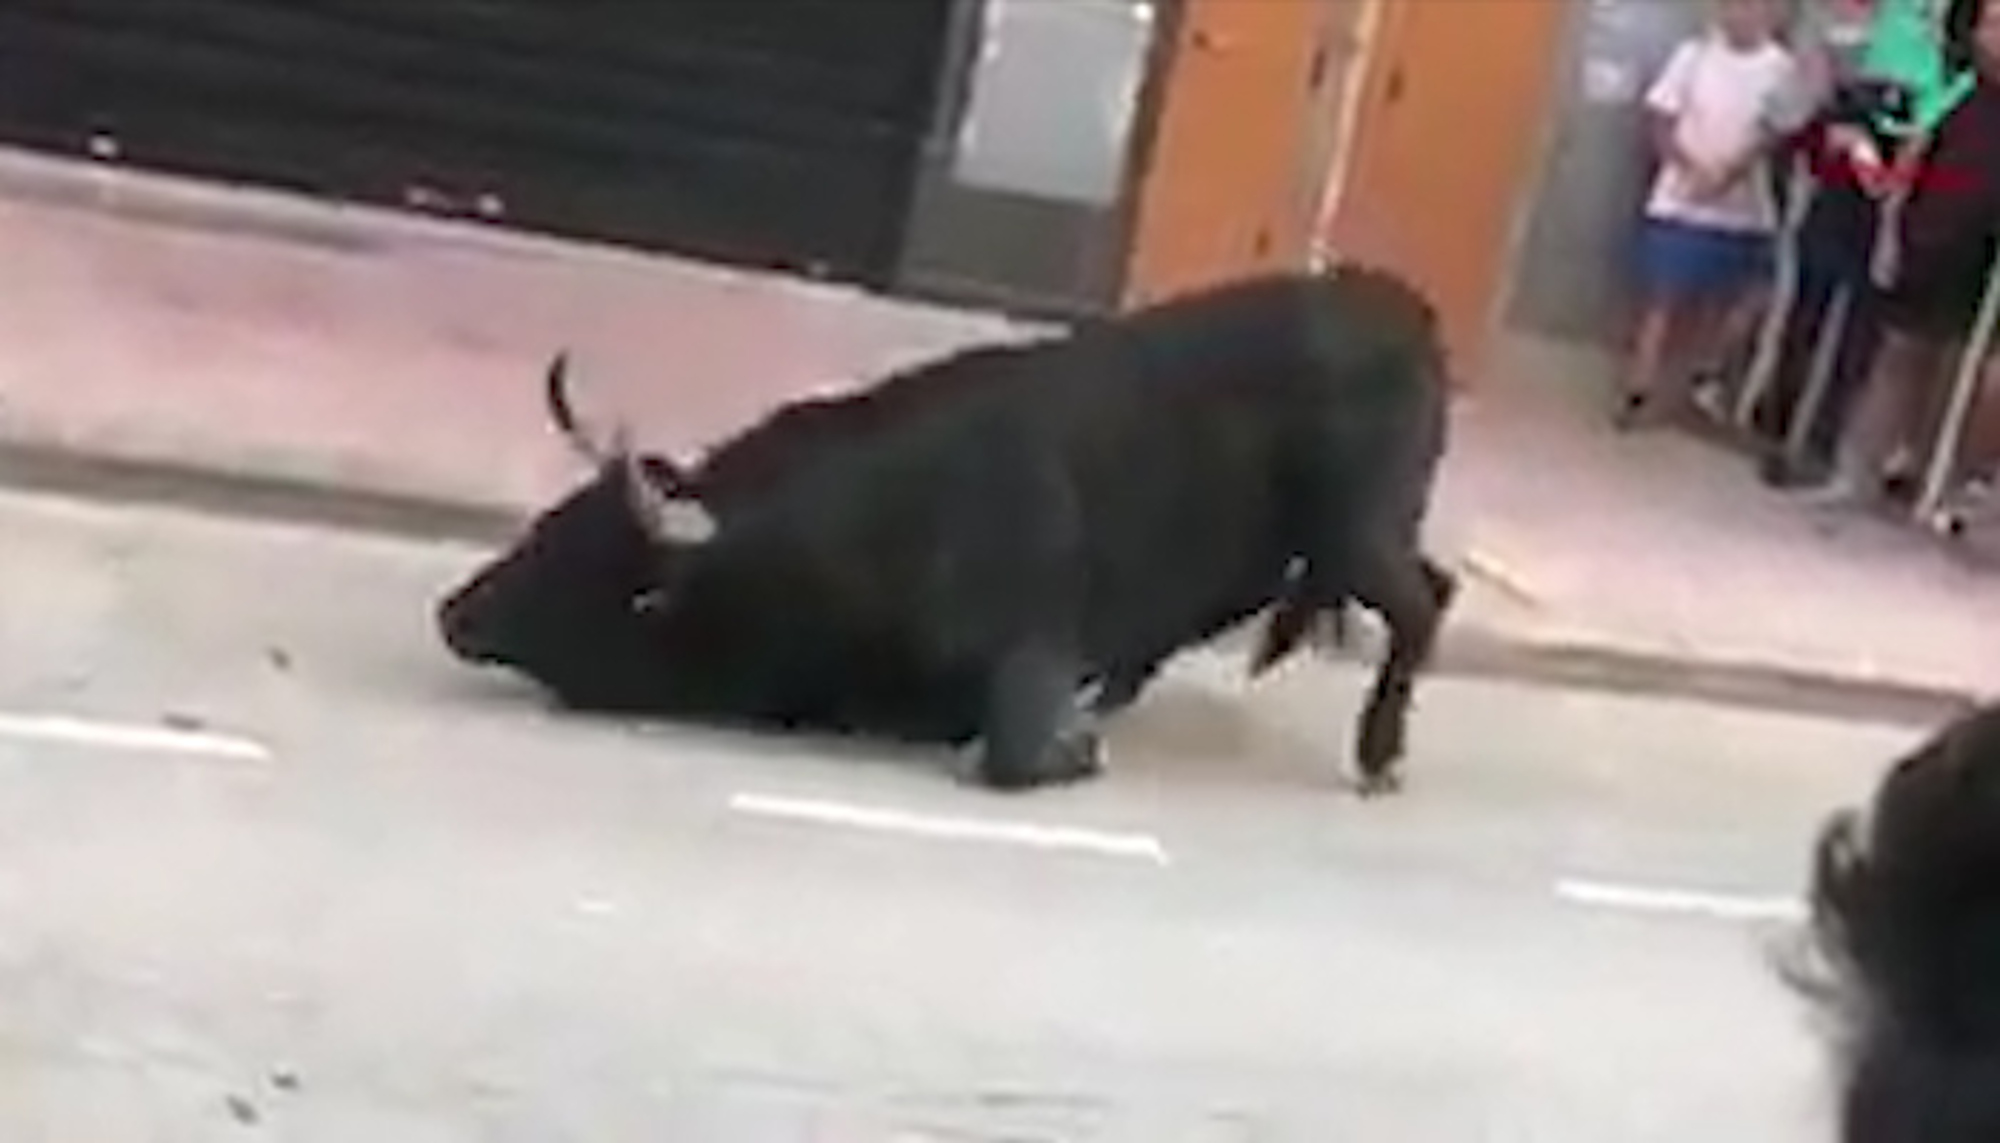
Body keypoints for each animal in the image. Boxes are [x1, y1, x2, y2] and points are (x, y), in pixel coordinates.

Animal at [438, 263, 1456, 795]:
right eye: (552, 521)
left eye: (586, 557)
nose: (455, 611)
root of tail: (1392, 298)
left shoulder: (1027, 645)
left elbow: (1015, 751)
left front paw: (1071, 748)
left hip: (1360, 531)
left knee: (1420, 604)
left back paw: (1379, 755)